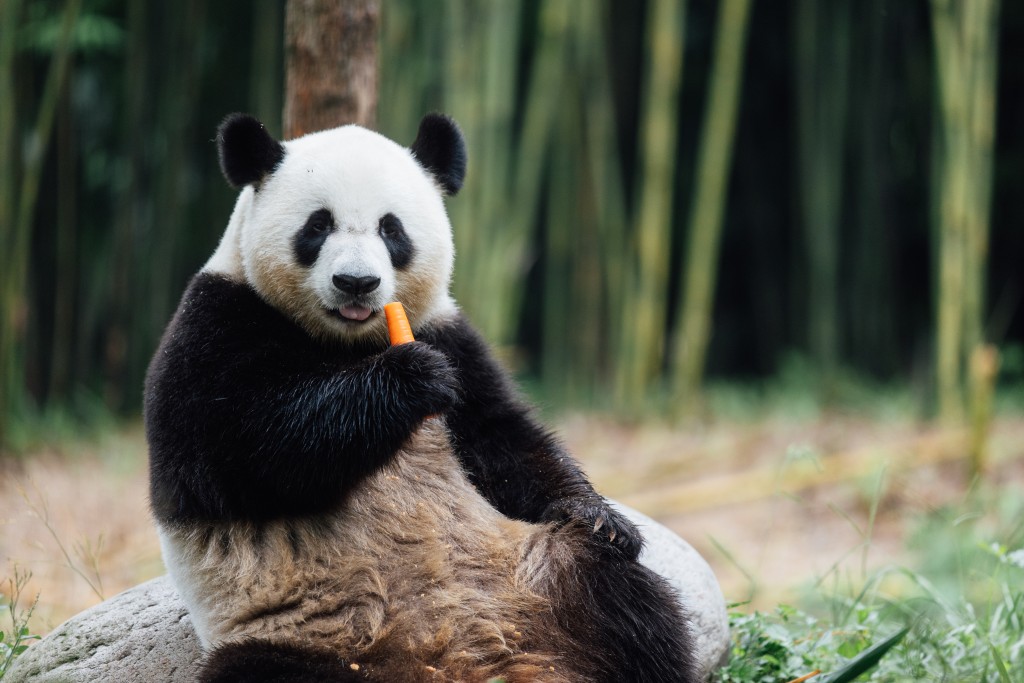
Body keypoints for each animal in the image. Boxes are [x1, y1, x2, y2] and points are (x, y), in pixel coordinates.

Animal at [144, 112, 696, 683]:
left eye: (392, 229)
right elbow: (242, 450)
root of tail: (459, 662)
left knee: (626, 604)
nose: (356, 282)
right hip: (309, 638)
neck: (348, 342)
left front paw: (599, 516)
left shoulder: (450, 334)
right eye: (317, 226)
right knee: (261, 669)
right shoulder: (215, 324)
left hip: (543, 577)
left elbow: (503, 439)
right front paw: (410, 378)